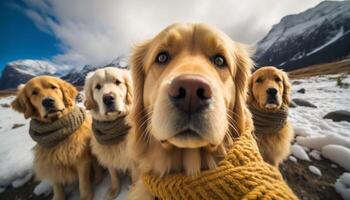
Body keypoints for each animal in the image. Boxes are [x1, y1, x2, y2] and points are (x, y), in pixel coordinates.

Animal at [84, 67, 137, 200]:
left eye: (117, 82)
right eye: (97, 86)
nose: (108, 98)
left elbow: (135, 176)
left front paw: (134, 190)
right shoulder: (108, 155)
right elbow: (113, 176)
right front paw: (114, 191)